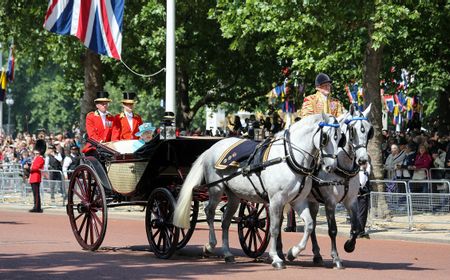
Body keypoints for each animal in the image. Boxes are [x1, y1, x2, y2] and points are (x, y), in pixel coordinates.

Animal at [173, 113, 344, 270]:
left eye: (340, 138)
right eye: (325, 138)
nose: (331, 167)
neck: (289, 157)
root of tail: (211, 148)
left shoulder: (298, 201)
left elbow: (309, 225)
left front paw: (292, 252)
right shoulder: (276, 200)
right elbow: (274, 229)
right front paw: (276, 258)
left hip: (233, 196)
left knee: (225, 221)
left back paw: (227, 253)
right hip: (216, 189)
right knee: (209, 212)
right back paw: (210, 245)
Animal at [286, 104, 374, 268]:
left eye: (369, 130)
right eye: (352, 129)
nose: (363, 160)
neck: (342, 166)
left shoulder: (351, 200)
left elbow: (356, 227)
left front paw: (349, 245)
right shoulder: (330, 201)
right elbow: (332, 230)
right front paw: (336, 258)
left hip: (312, 201)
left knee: (312, 225)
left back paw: (317, 255)